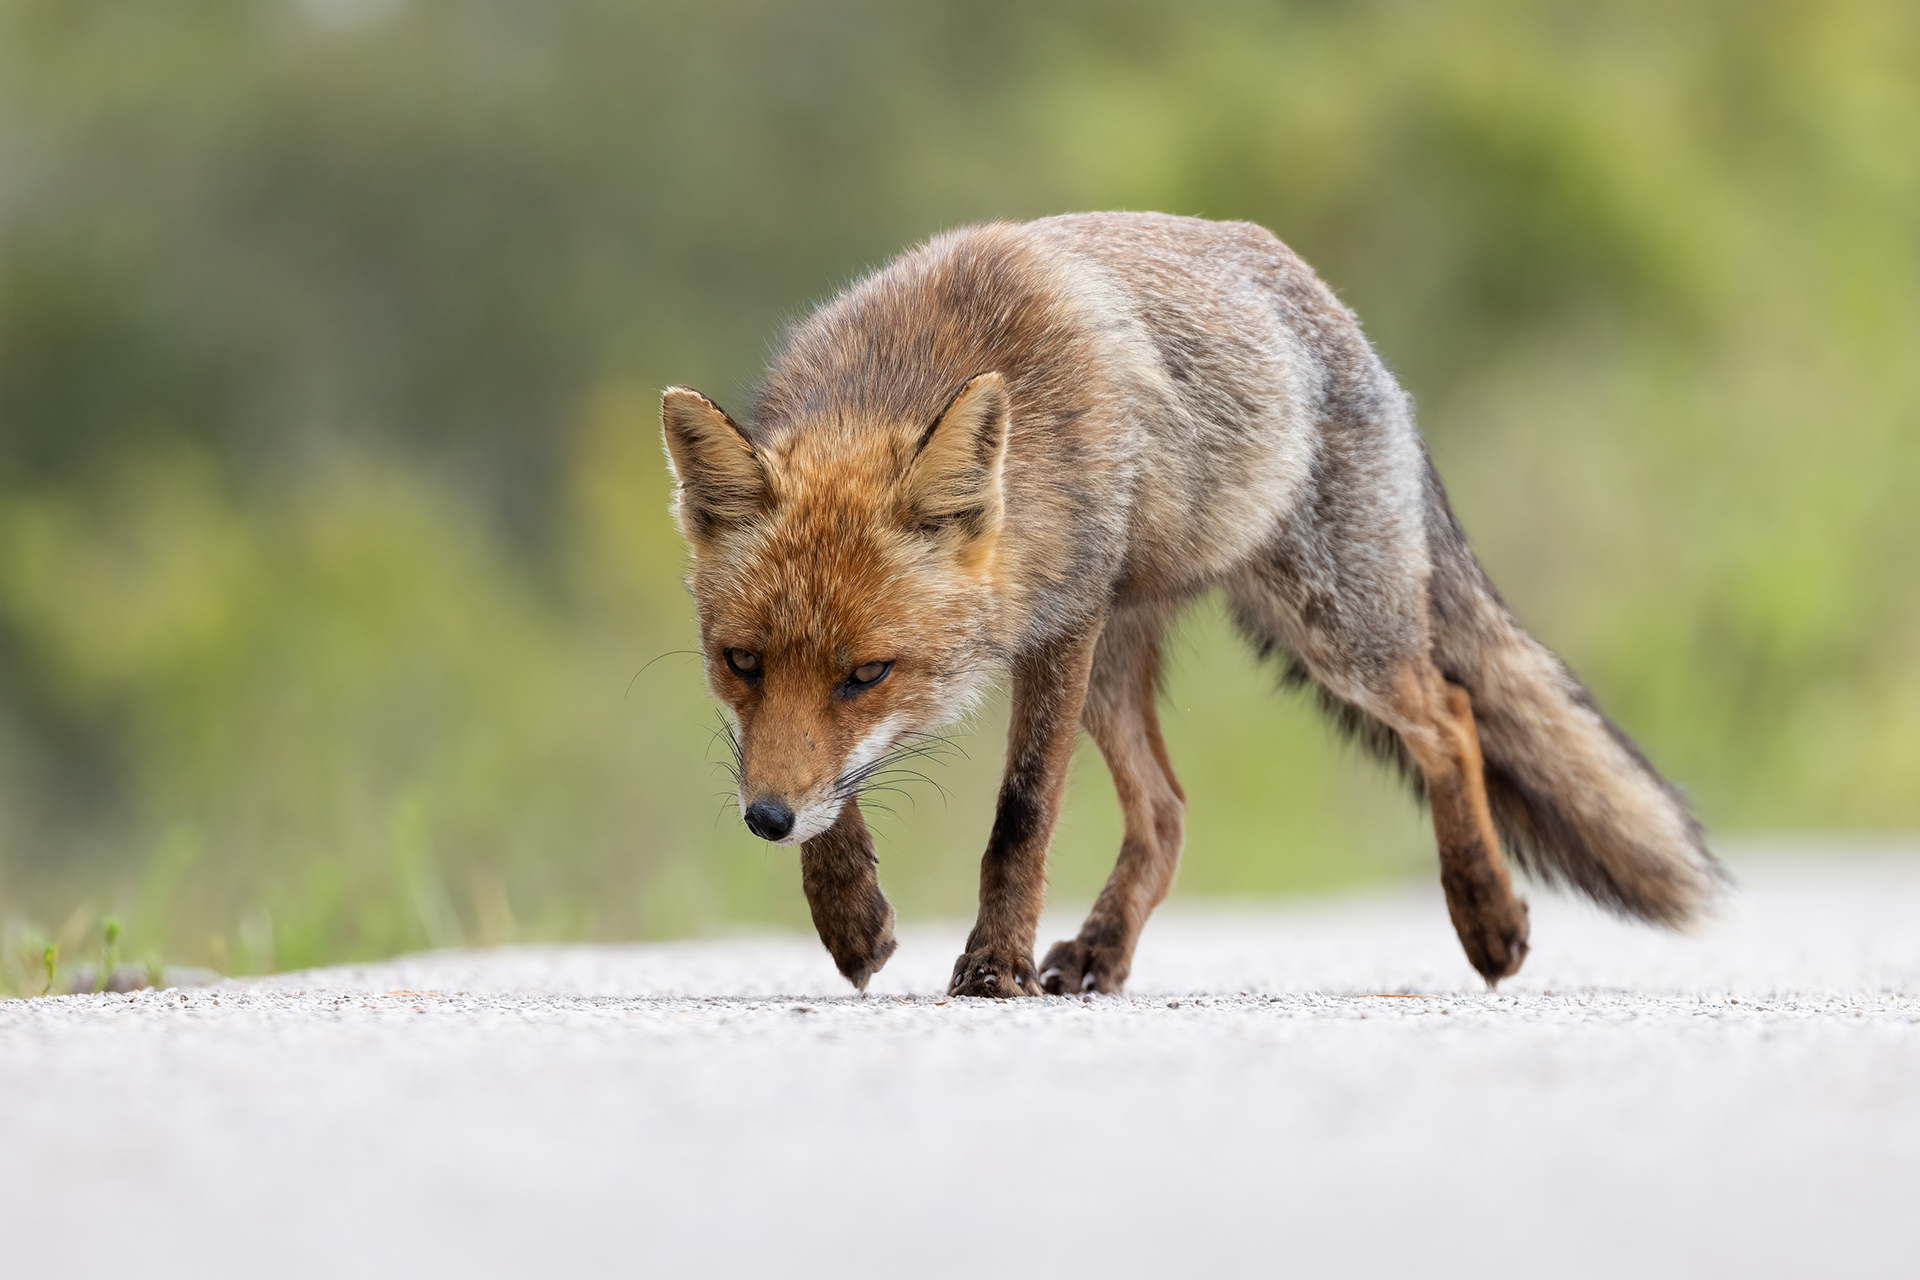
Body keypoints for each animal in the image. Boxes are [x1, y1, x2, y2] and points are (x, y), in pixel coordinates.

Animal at [660, 211, 1724, 998]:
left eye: (868, 673)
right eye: (741, 663)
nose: (763, 820)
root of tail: (1332, 309)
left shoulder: (1062, 626)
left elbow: (1021, 816)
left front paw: (994, 964)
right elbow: (837, 795)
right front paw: (849, 917)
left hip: (1331, 631)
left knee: (1451, 717)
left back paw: (1486, 916)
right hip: (1123, 663)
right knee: (1169, 815)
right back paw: (1101, 950)